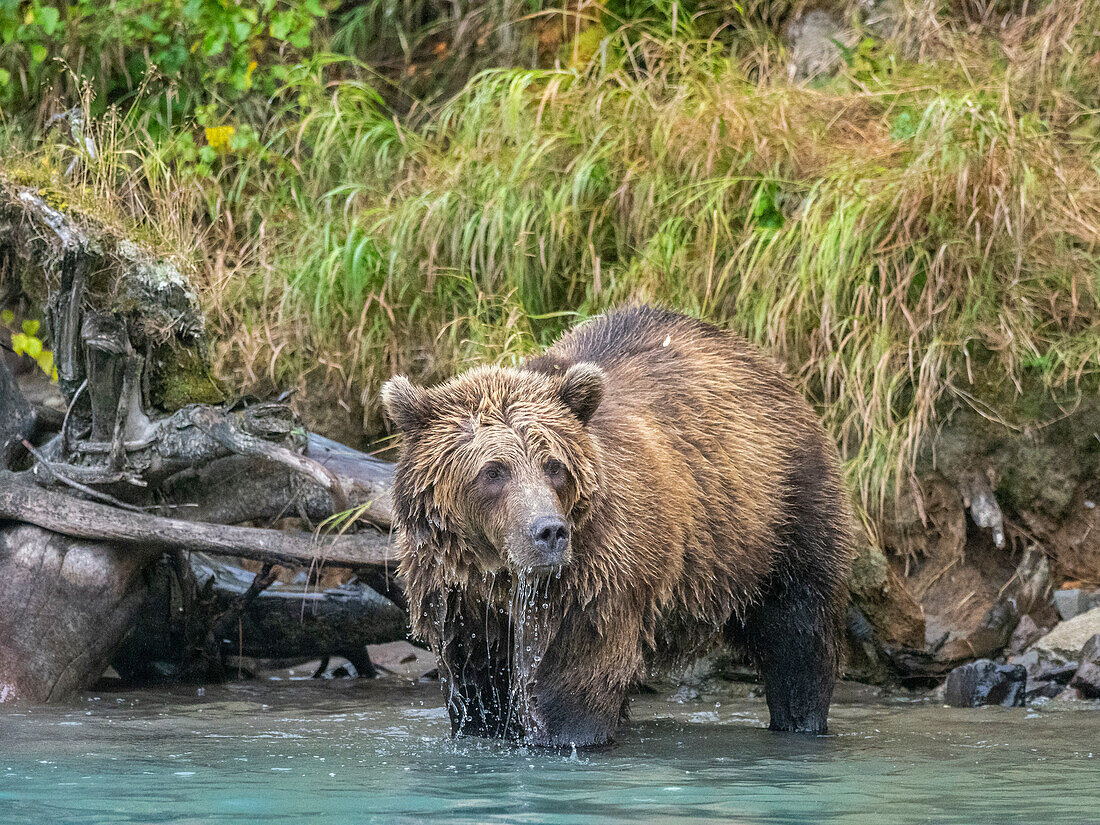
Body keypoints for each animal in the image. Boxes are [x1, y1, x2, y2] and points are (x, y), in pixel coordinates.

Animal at [382, 305, 853, 748]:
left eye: (554, 465)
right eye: (493, 471)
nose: (549, 532)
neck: (500, 577)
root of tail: (763, 363)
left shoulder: (593, 578)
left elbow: (574, 679)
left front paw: (567, 733)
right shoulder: (457, 599)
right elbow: (478, 689)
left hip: (779, 516)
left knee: (798, 632)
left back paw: (801, 719)